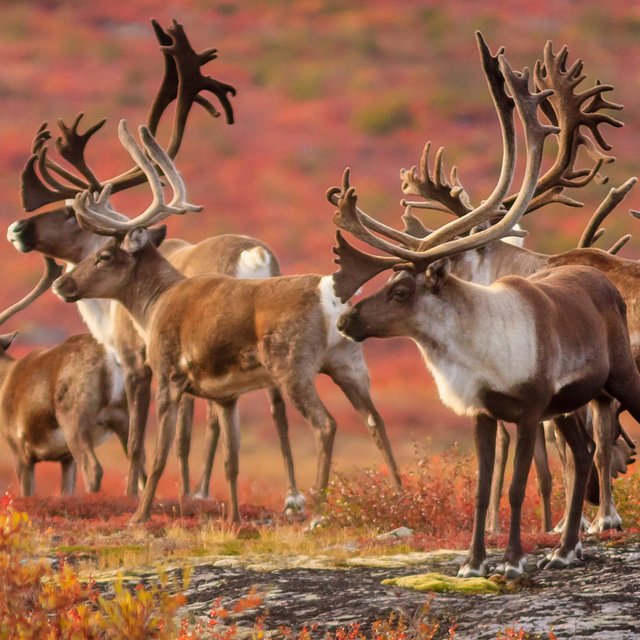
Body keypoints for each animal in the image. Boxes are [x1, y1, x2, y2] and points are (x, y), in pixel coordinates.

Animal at [51, 120, 401, 525]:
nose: (62, 284)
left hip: (292, 365)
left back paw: (318, 508)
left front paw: (139, 516)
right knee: (376, 421)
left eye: (104, 256)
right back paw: (399, 496)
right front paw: (233, 519)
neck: (154, 305)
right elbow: (231, 459)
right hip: (348, 363)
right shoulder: (225, 395)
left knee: (325, 424)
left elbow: (159, 455)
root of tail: (330, 296)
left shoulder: (168, 376)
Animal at [325, 44, 640, 578]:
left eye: (402, 289)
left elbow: (545, 470)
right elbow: (521, 472)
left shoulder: (549, 403)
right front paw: (494, 554)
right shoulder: (514, 408)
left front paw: (543, 545)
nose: (345, 318)